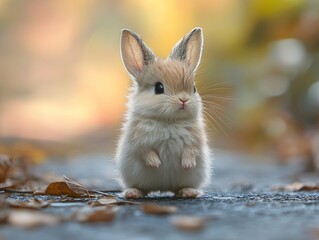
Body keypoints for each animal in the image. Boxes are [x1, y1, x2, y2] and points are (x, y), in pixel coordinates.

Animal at [117, 27, 212, 199]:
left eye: (194, 88)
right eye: (159, 88)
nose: (183, 100)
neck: (168, 121)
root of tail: (163, 188)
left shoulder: (195, 141)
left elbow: (191, 151)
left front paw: (187, 164)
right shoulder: (138, 141)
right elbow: (145, 152)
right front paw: (156, 163)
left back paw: (189, 192)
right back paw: (133, 193)